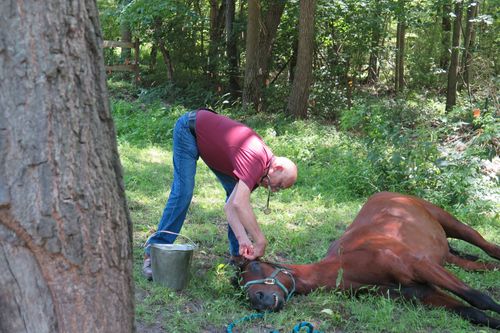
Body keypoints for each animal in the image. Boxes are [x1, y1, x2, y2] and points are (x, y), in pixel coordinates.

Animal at [234, 191, 500, 328]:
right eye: (240, 289)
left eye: (256, 265)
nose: (258, 300)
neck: (349, 264)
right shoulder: (419, 292)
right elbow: (472, 312)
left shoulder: (421, 267)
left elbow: (479, 298)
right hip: (445, 257)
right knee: (480, 264)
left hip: (451, 224)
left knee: (487, 246)